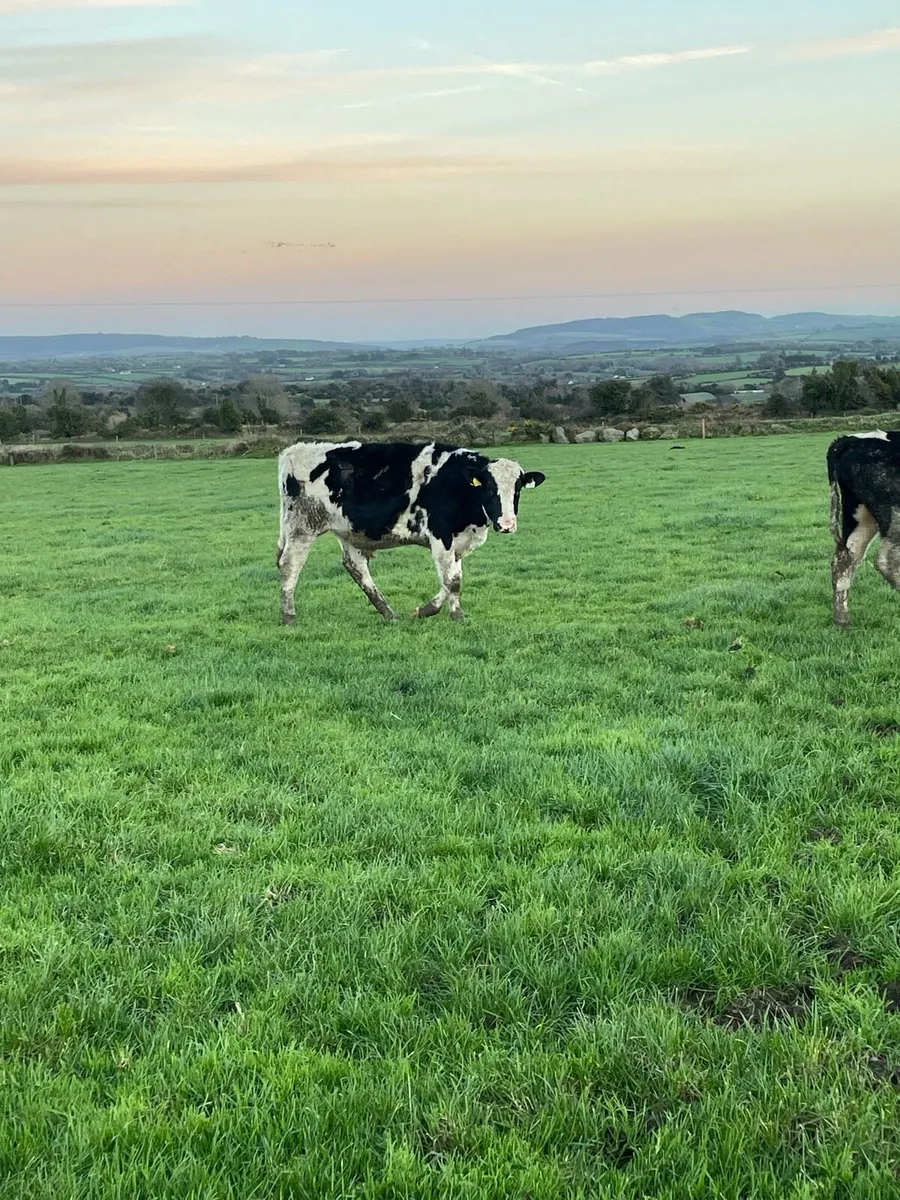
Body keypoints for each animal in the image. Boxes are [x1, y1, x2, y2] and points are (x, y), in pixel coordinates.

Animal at [275, 440, 546, 624]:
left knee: (356, 568)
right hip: (302, 528)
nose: (507, 524)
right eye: (489, 488)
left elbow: (452, 579)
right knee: (290, 565)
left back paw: (388, 612)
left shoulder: (458, 542)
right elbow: (453, 581)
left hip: (349, 531)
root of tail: (293, 451)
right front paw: (457, 615)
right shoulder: (441, 535)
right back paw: (289, 616)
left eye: (518, 488)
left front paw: (424, 610)